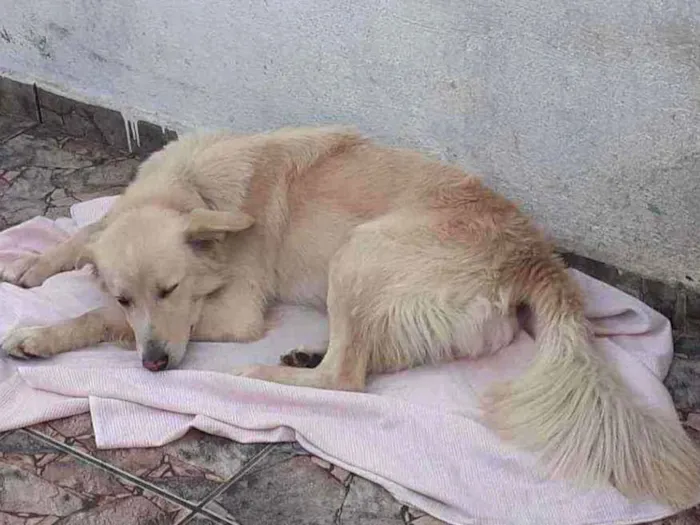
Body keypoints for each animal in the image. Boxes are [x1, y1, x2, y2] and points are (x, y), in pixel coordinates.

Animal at [1, 127, 700, 508]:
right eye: (129, 294)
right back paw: (303, 353)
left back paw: (262, 376)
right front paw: (35, 266)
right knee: (363, 356)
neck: (192, 190)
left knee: (347, 378)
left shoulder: (234, 310)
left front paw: (41, 334)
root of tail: (533, 254)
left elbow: (97, 319)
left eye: (170, 290)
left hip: (358, 255)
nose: (154, 366)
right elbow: (89, 234)